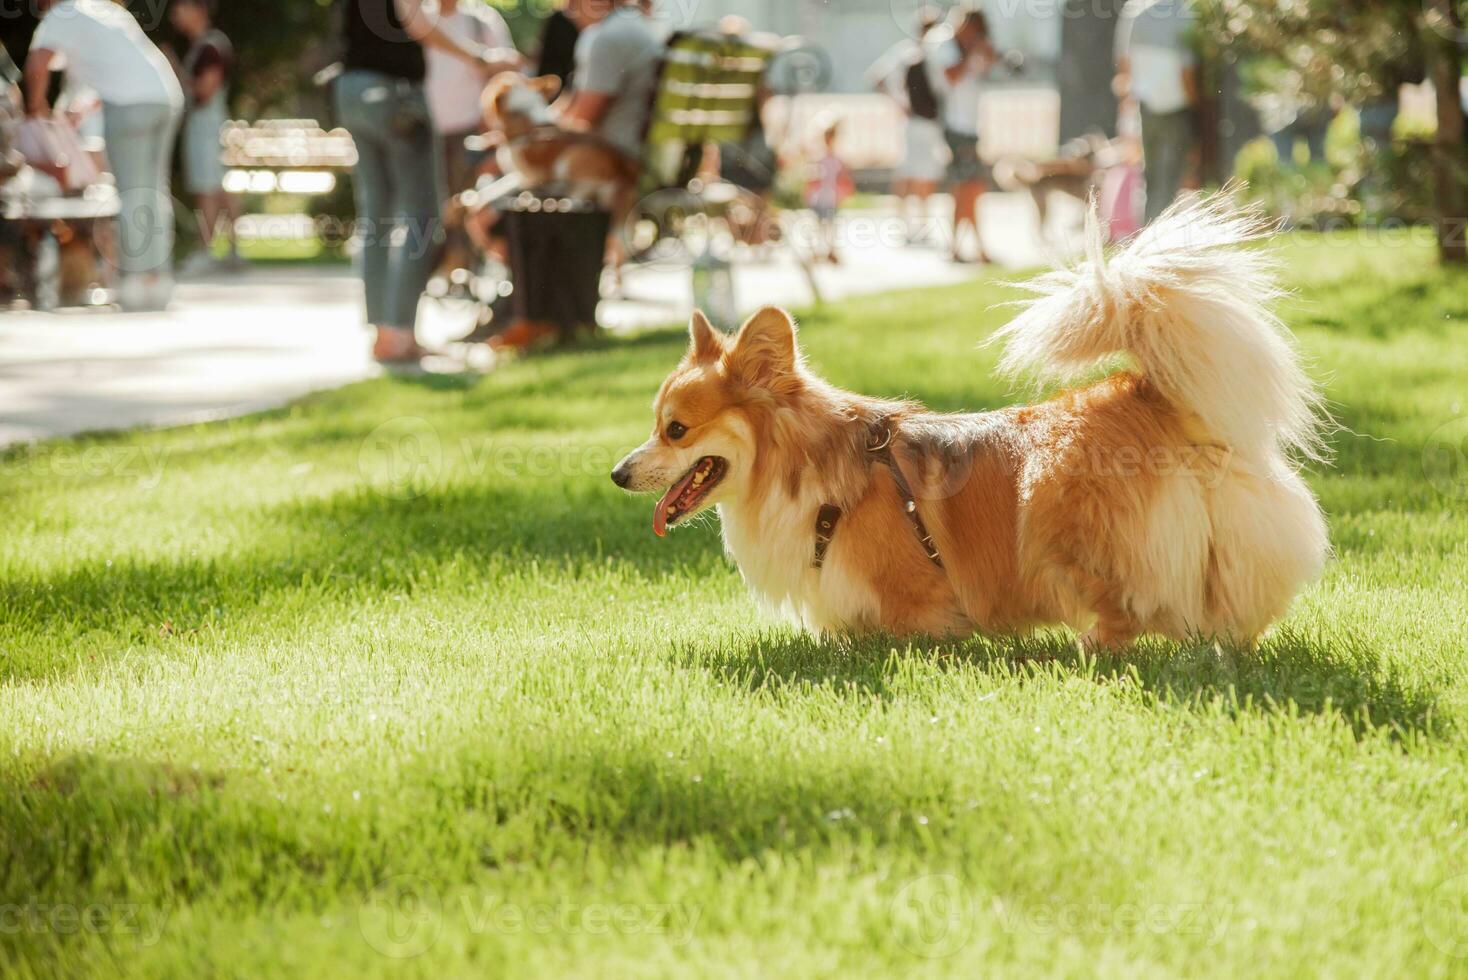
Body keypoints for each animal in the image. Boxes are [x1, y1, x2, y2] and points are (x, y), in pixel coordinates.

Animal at [607, 195, 1332, 645]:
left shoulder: (913, 599)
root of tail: (1146, 391)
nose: (616, 474)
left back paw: (1092, 646)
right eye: (656, 424)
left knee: (1131, 607)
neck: (807, 470)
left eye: (675, 429)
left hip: (1052, 499)